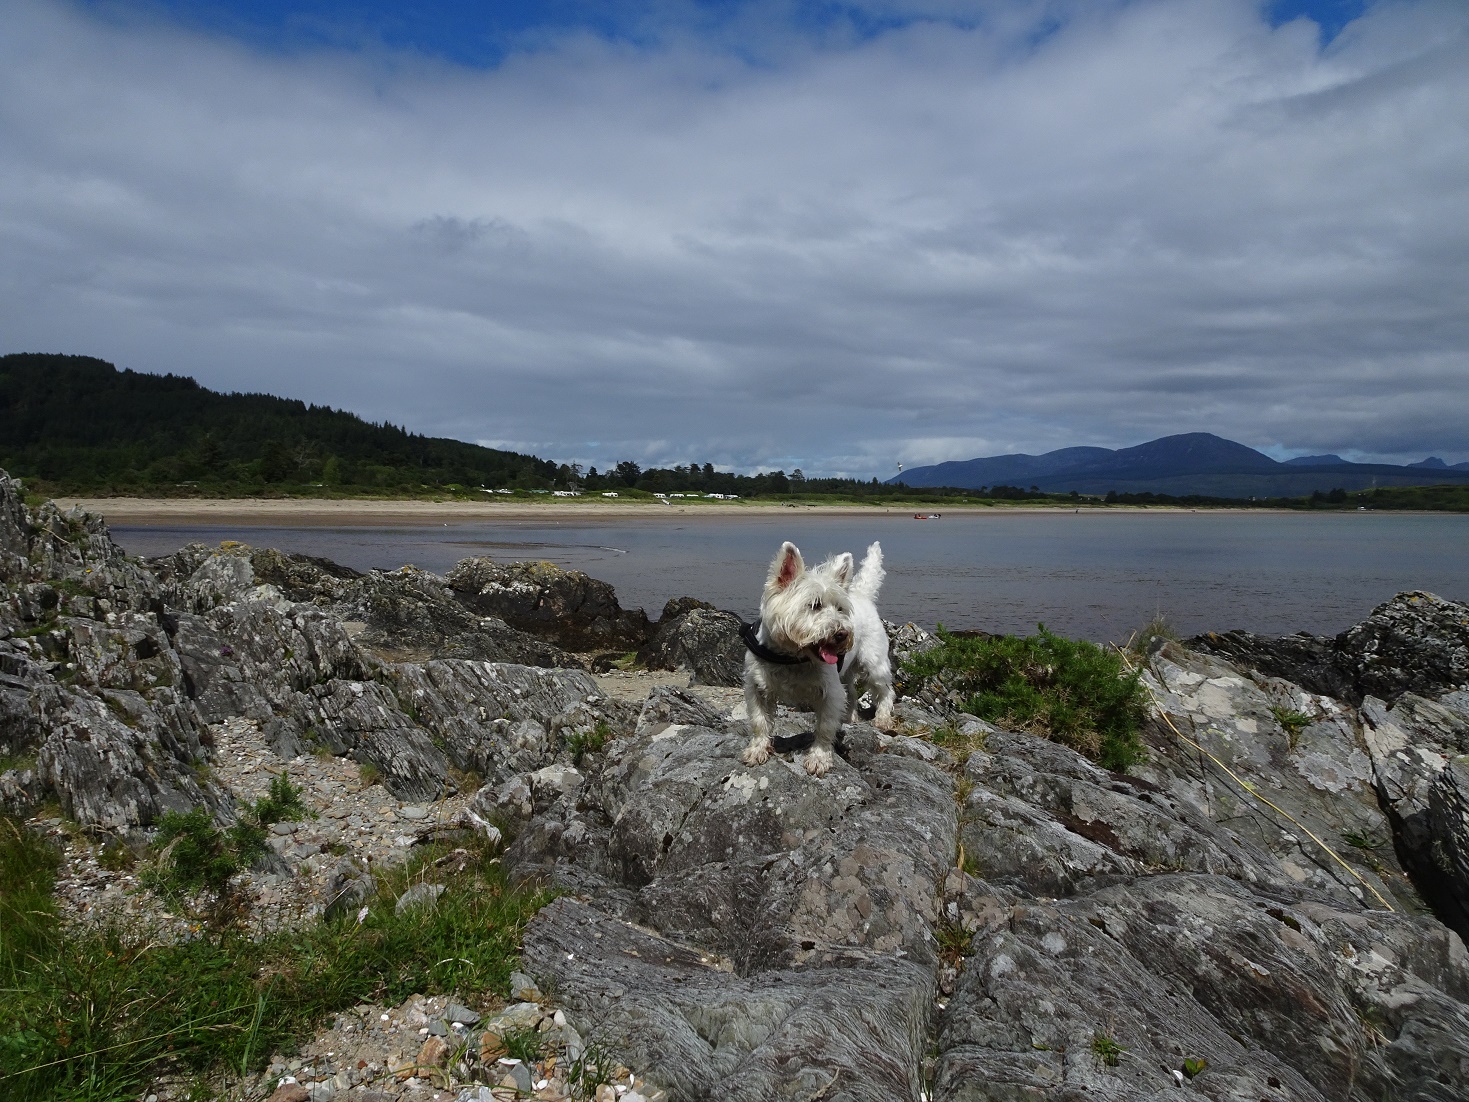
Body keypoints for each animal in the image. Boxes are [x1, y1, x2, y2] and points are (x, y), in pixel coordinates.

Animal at [734, 540, 893, 775]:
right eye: (815, 605)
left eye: (840, 608)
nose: (842, 634)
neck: (791, 657)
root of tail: (863, 595)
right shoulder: (756, 687)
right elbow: (759, 720)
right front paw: (757, 750)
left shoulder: (830, 691)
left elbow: (825, 726)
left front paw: (819, 758)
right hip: (847, 672)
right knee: (852, 692)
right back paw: (850, 717)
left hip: (874, 663)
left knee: (885, 691)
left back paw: (882, 719)